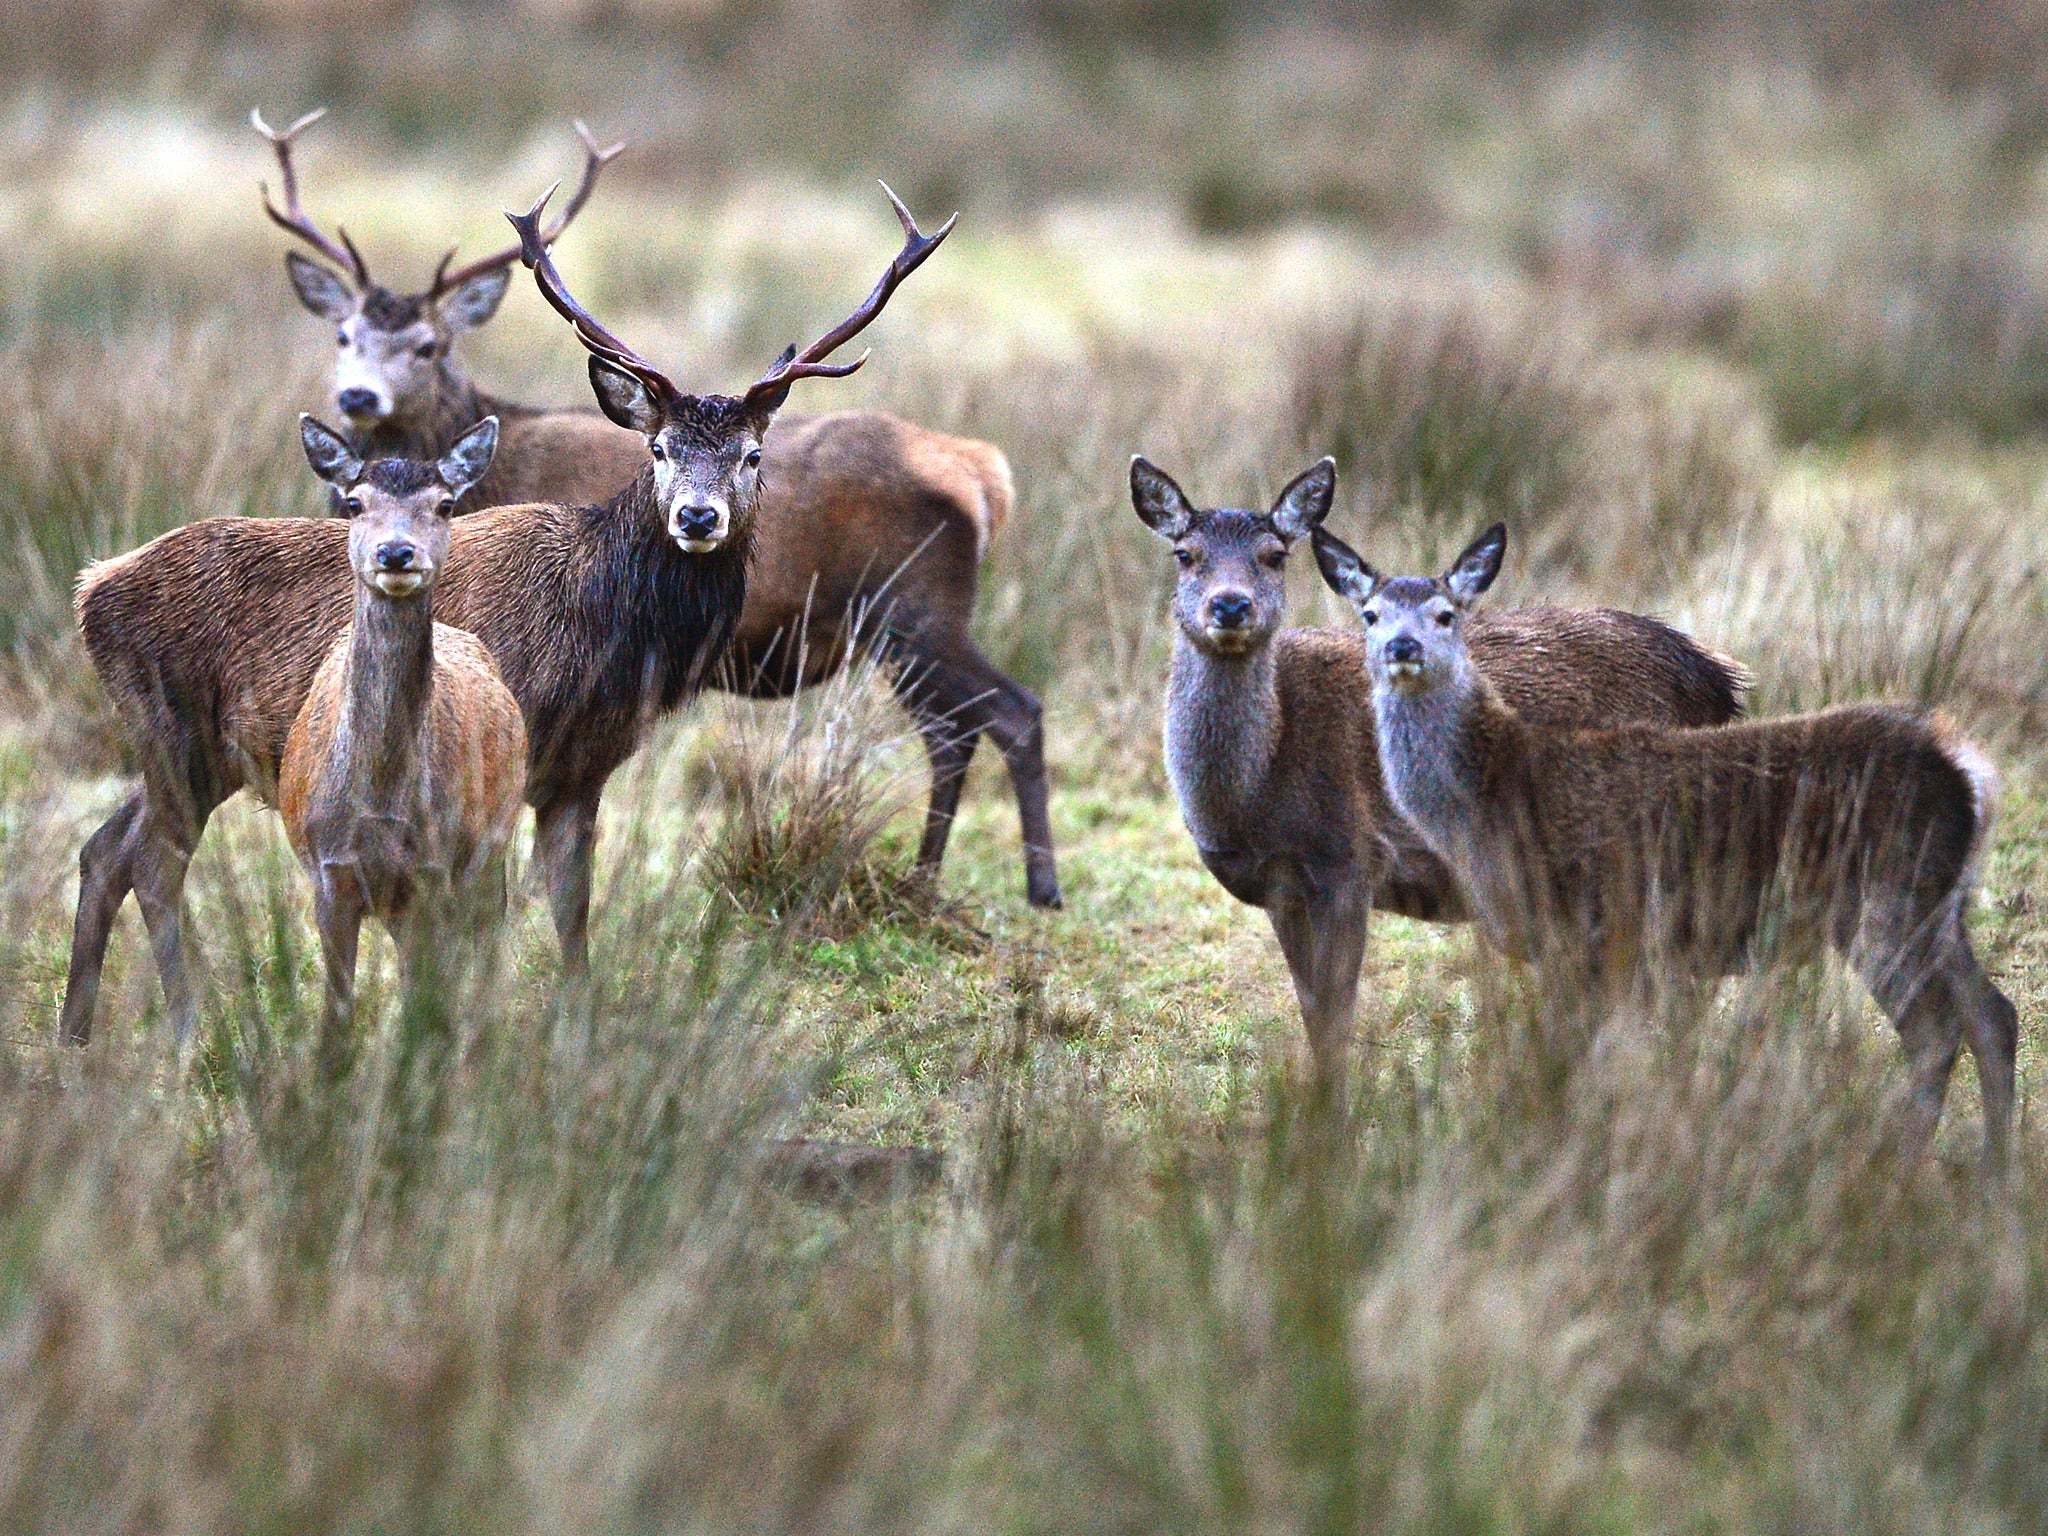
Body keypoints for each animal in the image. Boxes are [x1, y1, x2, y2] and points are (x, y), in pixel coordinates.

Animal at [253, 108, 1056, 913]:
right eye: (343, 335)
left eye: (428, 345)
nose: (358, 396)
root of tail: (985, 473)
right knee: (954, 730)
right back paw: (929, 878)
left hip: (915, 606)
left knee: (1008, 712)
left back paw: (1031, 885)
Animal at [280, 415, 528, 1056]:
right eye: (354, 502)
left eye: (444, 504)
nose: (396, 551)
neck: (381, 805)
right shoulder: (330, 872)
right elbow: (337, 1015)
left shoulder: (435, 871)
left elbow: (429, 1002)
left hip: (490, 851)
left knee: (484, 953)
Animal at [1130, 462, 1753, 1089]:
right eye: (1185, 553)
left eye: (1275, 554)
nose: (1230, 606)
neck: (1254, 797)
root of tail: (1719, 682)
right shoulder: (1281, 888)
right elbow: (1312, 1014)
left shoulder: (1349, 858)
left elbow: (1333, 1022)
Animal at [1310, 518, 2015, 1163]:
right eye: (1370, 614)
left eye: (1445, 614)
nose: (1402, 646)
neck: (1491, 801)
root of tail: (1969, 769)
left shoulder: (1589, 927)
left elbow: (1581, 1063)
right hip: (1938, 907)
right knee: (1993, 1017)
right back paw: (1995, 1171)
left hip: (1888, 898)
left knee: (1934, 1032)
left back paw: (1903, 1165)